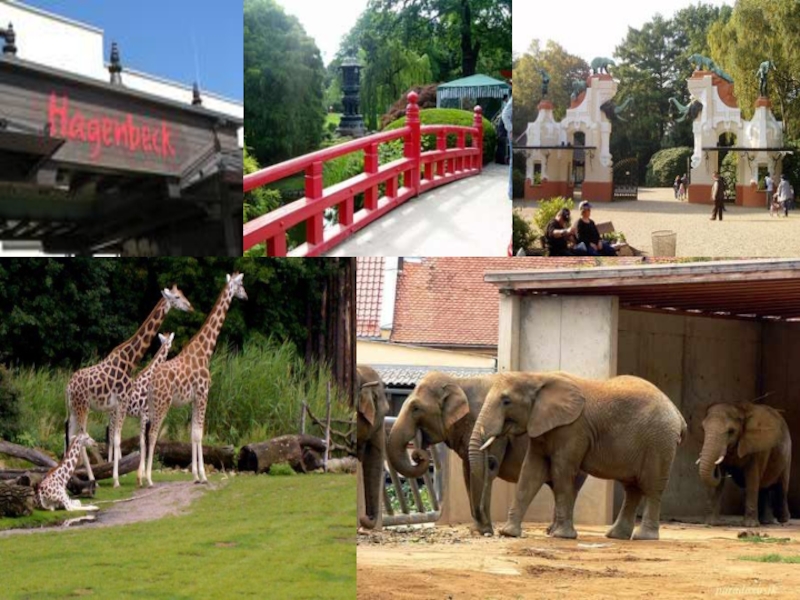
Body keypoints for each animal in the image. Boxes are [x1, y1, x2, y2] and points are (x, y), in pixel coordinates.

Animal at [66, 286, 193, 488]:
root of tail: (68, 387)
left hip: (73, 409)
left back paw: (72, 479)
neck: (130, 361)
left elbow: (136, 441)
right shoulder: (127, 405)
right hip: (83, 408)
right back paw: (93, 479)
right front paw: (119, 479)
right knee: (84, 438)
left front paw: (135, 477)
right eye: (177, 297)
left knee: (72, 436)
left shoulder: (131, 410)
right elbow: (125, 440)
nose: (189, 306)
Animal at [142, 272, 245, 488]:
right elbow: (199, 433)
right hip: (163, 403)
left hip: (152, 404)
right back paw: (148, 479)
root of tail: (152, 381)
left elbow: (193, 434)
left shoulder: (194, 399)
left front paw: (196, 475)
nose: (246, 296)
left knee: (147, 434)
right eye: (241, 285)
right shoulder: (203, 393)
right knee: (153, 434)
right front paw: (203, 476)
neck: (205, 352)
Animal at [384, 370, 584, 536]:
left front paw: (483, 530)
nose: (418, 455)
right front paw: (479, 530)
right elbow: (468, 471)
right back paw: (552, 530)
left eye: (416, 408)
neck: (458, 382)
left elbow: (479, 471)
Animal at [468, 372, 688, 540]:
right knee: (632, 488)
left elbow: (562, 470)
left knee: (651, 487)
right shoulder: (542, 426)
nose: (488, 532)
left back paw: (643, 537)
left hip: (659, 441)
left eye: (506, 401)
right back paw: (616, 536)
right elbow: (530, 472)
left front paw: (561, 536)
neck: (537, 377)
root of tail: (678, 414)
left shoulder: (573, 429)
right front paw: (509, 533)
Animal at [696, 400, 792, 528]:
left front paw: (750, 525)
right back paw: (766, 521)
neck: (740, 410)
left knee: (781, 485)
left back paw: (783, 520)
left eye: (731, 431)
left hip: (787, 453)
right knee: (764, 487)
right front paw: (711, 523)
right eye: (703, 429)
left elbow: (752, 477)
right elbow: (719, 483)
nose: (716, 470)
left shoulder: (757, 446)